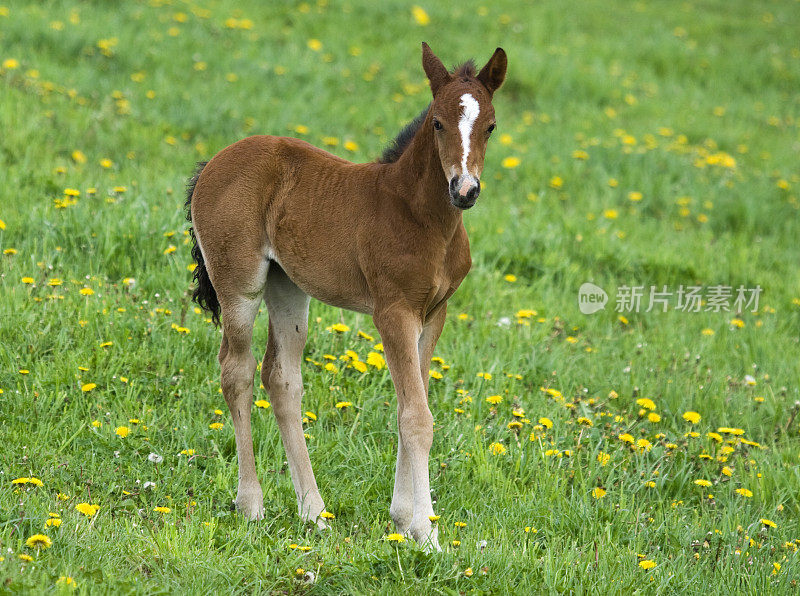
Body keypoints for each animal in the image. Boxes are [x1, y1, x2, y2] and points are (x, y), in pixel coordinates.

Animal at [188, 42, 506, 548]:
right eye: (437, 122)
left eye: (490, 125)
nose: (465, 190)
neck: (419, 217)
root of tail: (212, 163)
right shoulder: (394, 312)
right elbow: (417, 418)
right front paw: (427, 534)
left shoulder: (433, 313)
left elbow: (411, 407)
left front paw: (403, 520)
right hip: (240, 285)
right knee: (236, 372)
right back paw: (251, 505)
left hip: (288, 288)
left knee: (281, 379)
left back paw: (314, 513)